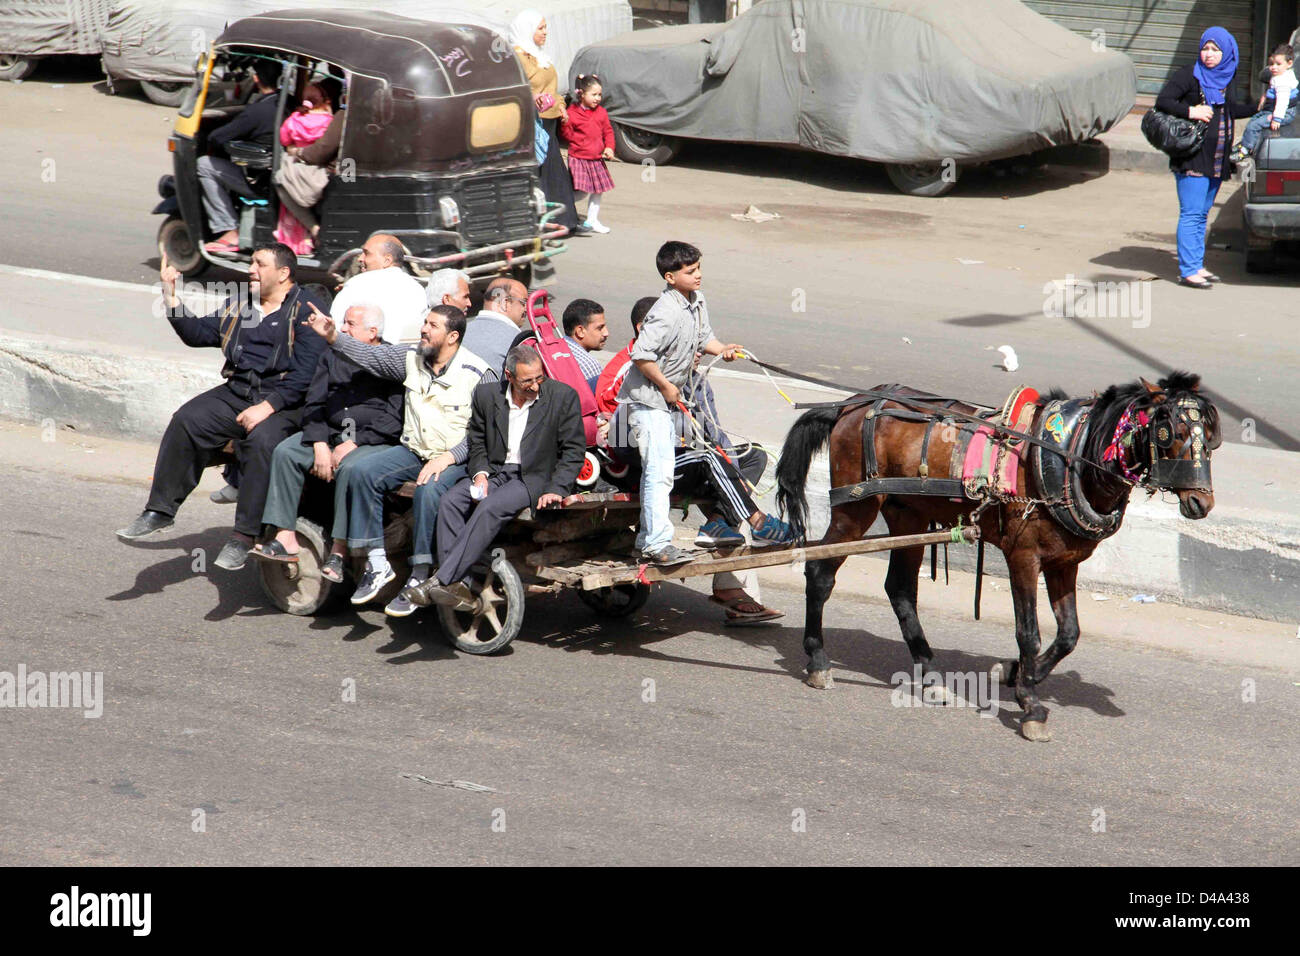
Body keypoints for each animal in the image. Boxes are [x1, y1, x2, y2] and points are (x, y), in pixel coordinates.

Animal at [780, 371, 1216, 738]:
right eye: (1170, 432)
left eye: (1210, 437)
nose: (1202, 502)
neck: (1067, 458)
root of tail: (850, 405)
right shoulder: (1022, 556)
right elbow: (1029, 632)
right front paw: (1030, 703)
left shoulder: (1064, 563)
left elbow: (1069, 634)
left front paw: (1021, 676)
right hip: (855, 509)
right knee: (820, 574)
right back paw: (818, 660)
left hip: (908, 516)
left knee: (900, 590)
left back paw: (931, 676)